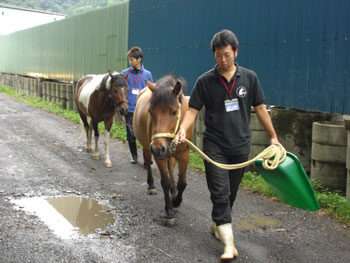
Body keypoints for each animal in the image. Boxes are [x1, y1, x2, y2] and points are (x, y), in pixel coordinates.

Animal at [133, 75, 194, 227]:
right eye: (150, 111)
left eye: (174, 112)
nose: (157, 148)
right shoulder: (158, 155)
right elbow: (165, 182)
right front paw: (169, 212)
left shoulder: (184, 154)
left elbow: (182, 183)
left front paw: (176, 200)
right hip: (147, 147)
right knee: (148, 162)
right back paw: (151, 186)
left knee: (171, 166)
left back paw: (173, 190)